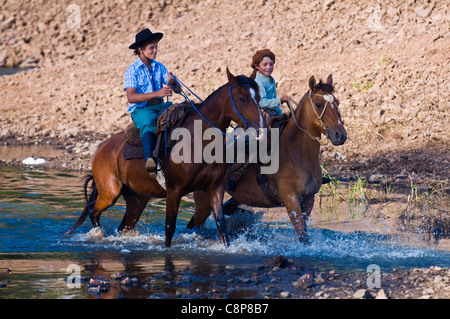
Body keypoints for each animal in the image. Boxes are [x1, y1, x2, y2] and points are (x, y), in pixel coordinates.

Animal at [66, 70, 264, 248]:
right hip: (110, 193)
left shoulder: (215, 187)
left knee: (123, 226)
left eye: (259, 97)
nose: (260, 129)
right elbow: (169, 228)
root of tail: (101, 148)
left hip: (137, 199)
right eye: (242, 99)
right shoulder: (174, 190)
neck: (198, 140)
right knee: (93, 212)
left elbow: (221, 226)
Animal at [186, 75, 348, 244]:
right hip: (203, 198)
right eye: (318, 104)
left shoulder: (309, 200)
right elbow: (302, 235)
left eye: (337, 103)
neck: (296, 152)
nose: (340, 135)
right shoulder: (291, 200)